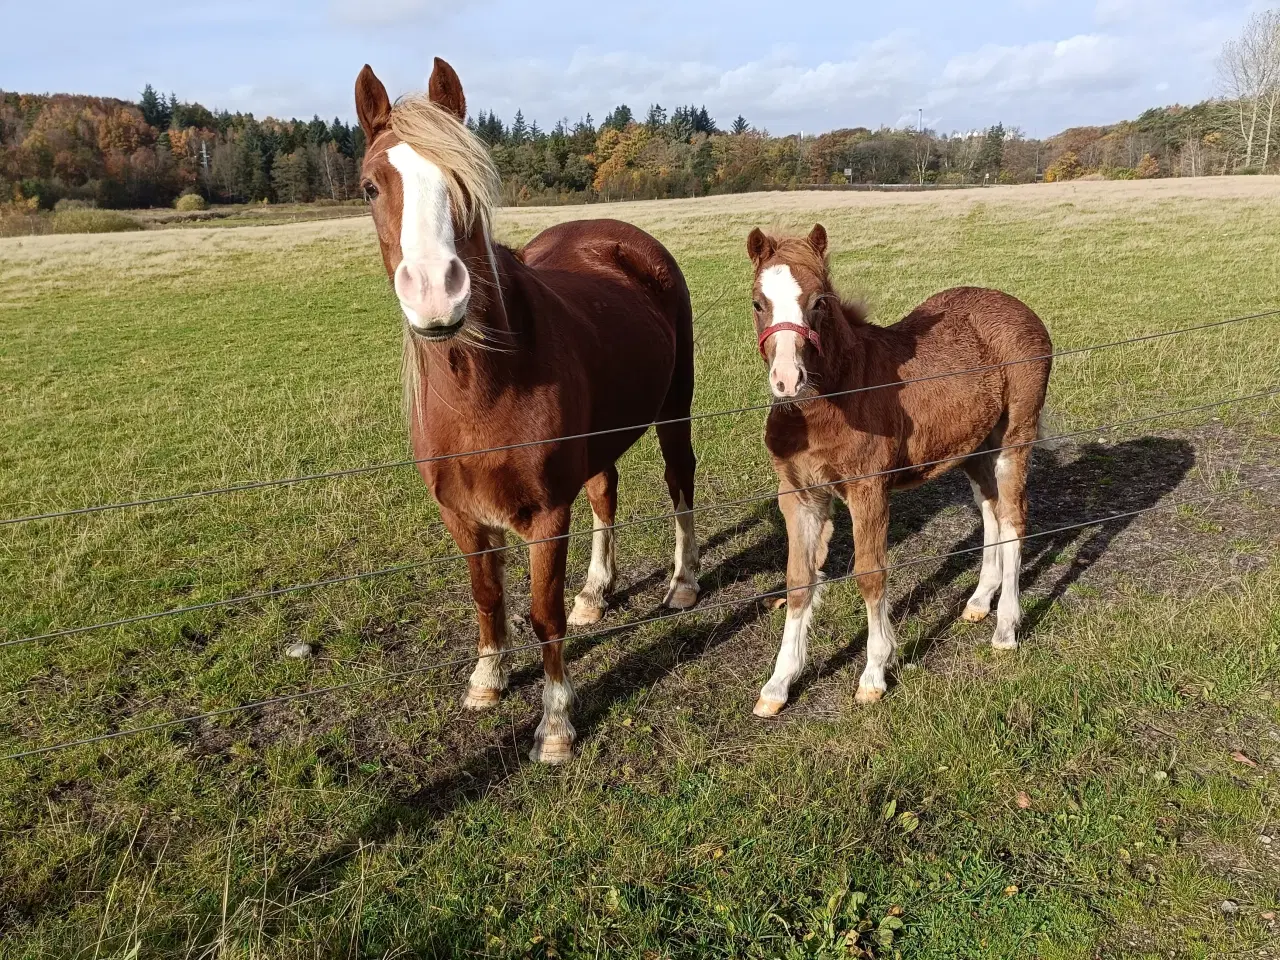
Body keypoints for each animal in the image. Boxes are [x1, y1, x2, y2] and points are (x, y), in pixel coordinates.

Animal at [355, 62, 701, 768]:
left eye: (463, 180)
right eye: (372, 185)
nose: (436, 293)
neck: (480, 388)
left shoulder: (545, 515)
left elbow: (544, 615)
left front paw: (556, 725)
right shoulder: (459, 513)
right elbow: (487, 595)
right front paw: (487, 678)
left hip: (673, 411)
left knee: (679, 483)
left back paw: (682, 583)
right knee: (605, 494)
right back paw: (597, 592)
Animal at [747, 225, 1049, 716]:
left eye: (819, 301)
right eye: (758, 302)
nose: (787, 380)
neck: (829, 402)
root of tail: (1020, 307)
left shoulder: (868, 490)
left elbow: (870, 575)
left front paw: (874, 673)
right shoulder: (799, 495)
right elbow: (798, 582)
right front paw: (778, 684)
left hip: (1014, 440)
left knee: (1014, 520)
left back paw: (1005, 629)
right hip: (975, 446)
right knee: (991, 512)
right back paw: (979, 600)